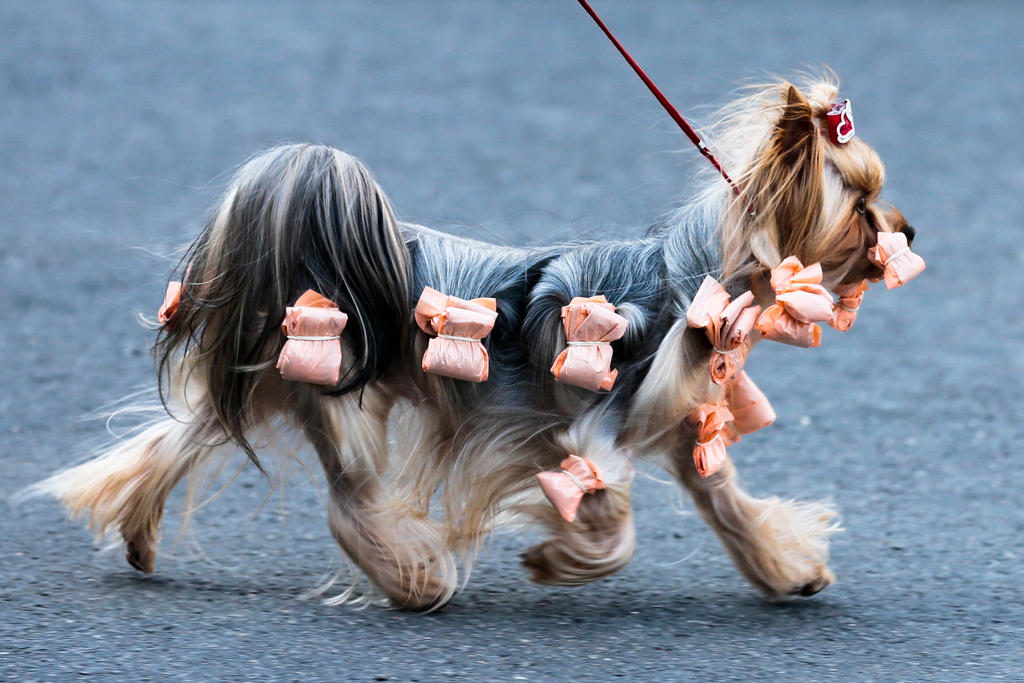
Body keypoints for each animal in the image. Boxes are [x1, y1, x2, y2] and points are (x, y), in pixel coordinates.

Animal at [36, 78, 925, 610]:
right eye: (862, 206)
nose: (910, 229)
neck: (695, 280)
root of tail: (309, 257)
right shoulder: (590, 429)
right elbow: (614, 520)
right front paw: (559, 562)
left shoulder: (679, 428)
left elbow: (729, 502)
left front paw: (788, 567)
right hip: (338, 386)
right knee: (348, 499)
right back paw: (415, 579)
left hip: (272, 379)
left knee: (179, 436)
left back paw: (139, 533)